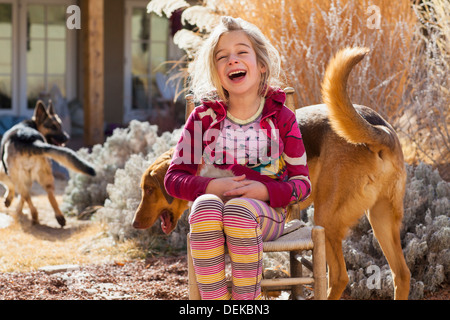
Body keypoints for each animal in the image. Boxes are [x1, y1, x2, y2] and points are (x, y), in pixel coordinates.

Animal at [0, 100, 96, 228]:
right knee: (50, 196)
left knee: (28, 198)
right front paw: (18, 210)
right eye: (53, 127)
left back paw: (35, 218)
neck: (32, 125)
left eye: (60, 126)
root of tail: (30, 140)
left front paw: (9, 201)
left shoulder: (5, 171)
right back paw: (60, 217)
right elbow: (21, 198)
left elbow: (11, 186)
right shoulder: (28, 178)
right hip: (45, 176)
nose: (67, 138)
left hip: (20, 176)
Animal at [131, 48, 412, 300]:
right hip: (381, 217)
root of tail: (380, 129)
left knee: (340, 277)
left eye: (149, 190)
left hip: (328, 219)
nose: (134, 224)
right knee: (402, 274)